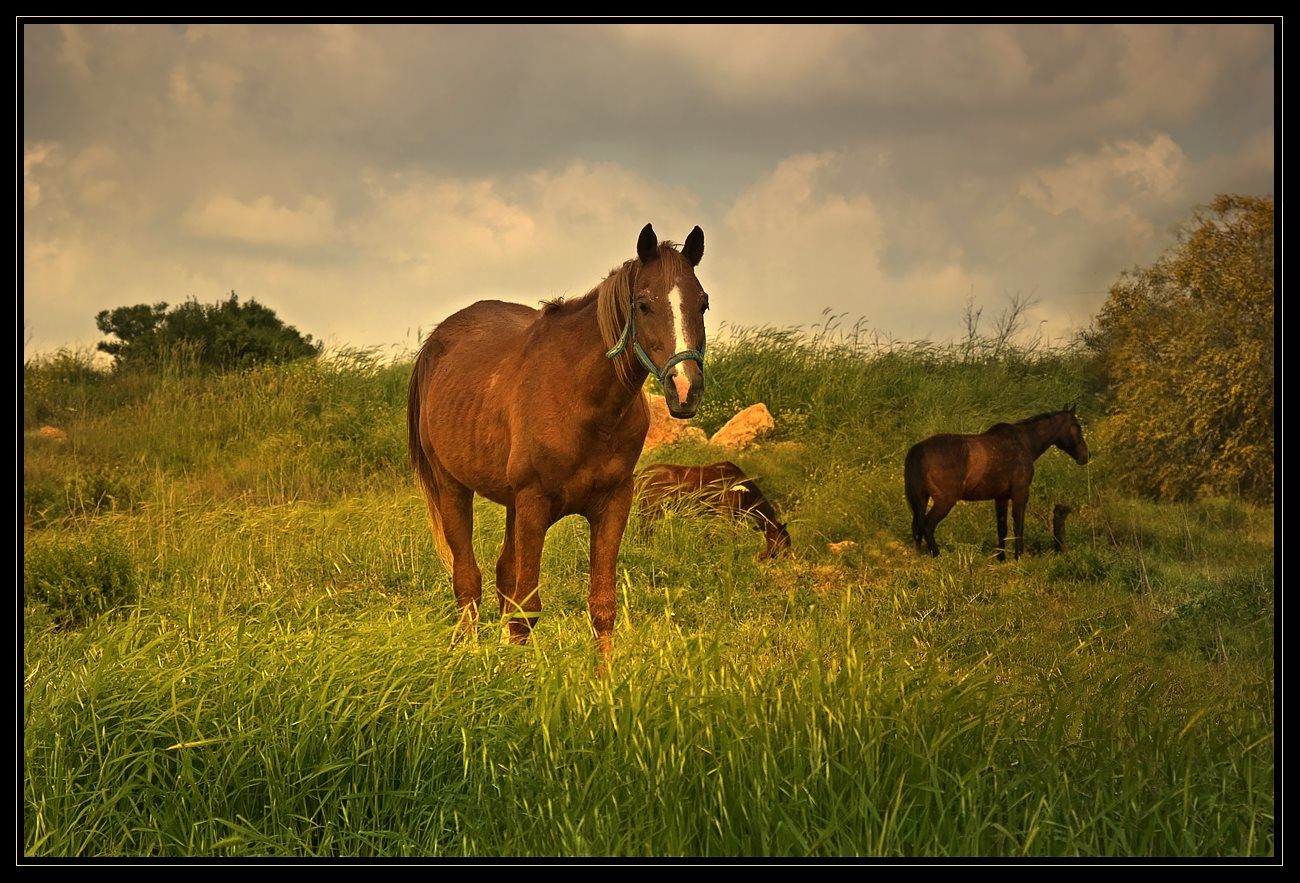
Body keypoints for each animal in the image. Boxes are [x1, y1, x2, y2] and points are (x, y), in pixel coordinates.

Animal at [408, 221, 707, 663]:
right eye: (643, 305)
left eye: (702, 303)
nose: (685, 388)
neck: (581, 398)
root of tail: (435, 343)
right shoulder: (534, 502)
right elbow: (527, 609)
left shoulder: (613, 503)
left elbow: (601, 605)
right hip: (453, 488)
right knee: (468, 581)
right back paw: (466, 653)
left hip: (511, 503)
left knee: (502, 575)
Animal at [909, 408, 1092, 559]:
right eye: (1076, 427)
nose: (1086, 455)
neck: (1024, 442)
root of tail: (918, 450)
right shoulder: (1020, 493)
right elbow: (1018, 525)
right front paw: (1019, 556)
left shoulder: (1001, 497)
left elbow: (1002, 527)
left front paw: (1001, 558)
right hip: (944, 501)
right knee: (927, 525)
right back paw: (937, 555)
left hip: (922, 499)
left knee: (917, 526)